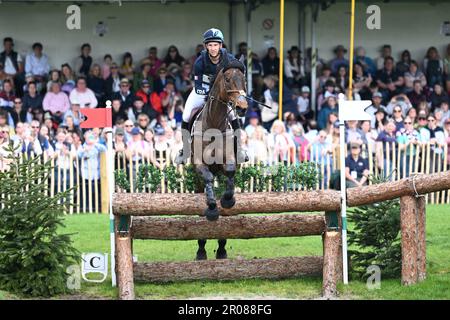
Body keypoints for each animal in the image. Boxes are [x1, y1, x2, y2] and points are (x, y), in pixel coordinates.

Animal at [188, 59, 248, 260]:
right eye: (227, 80)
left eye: (244, 79)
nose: (242, 107)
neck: (213, 122)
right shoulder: (199, 164)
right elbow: (207, 177)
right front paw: (212, 208)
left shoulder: (228, 161)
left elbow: (230, 171)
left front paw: (227, 200)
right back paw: (200, 250)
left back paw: (221, 249)